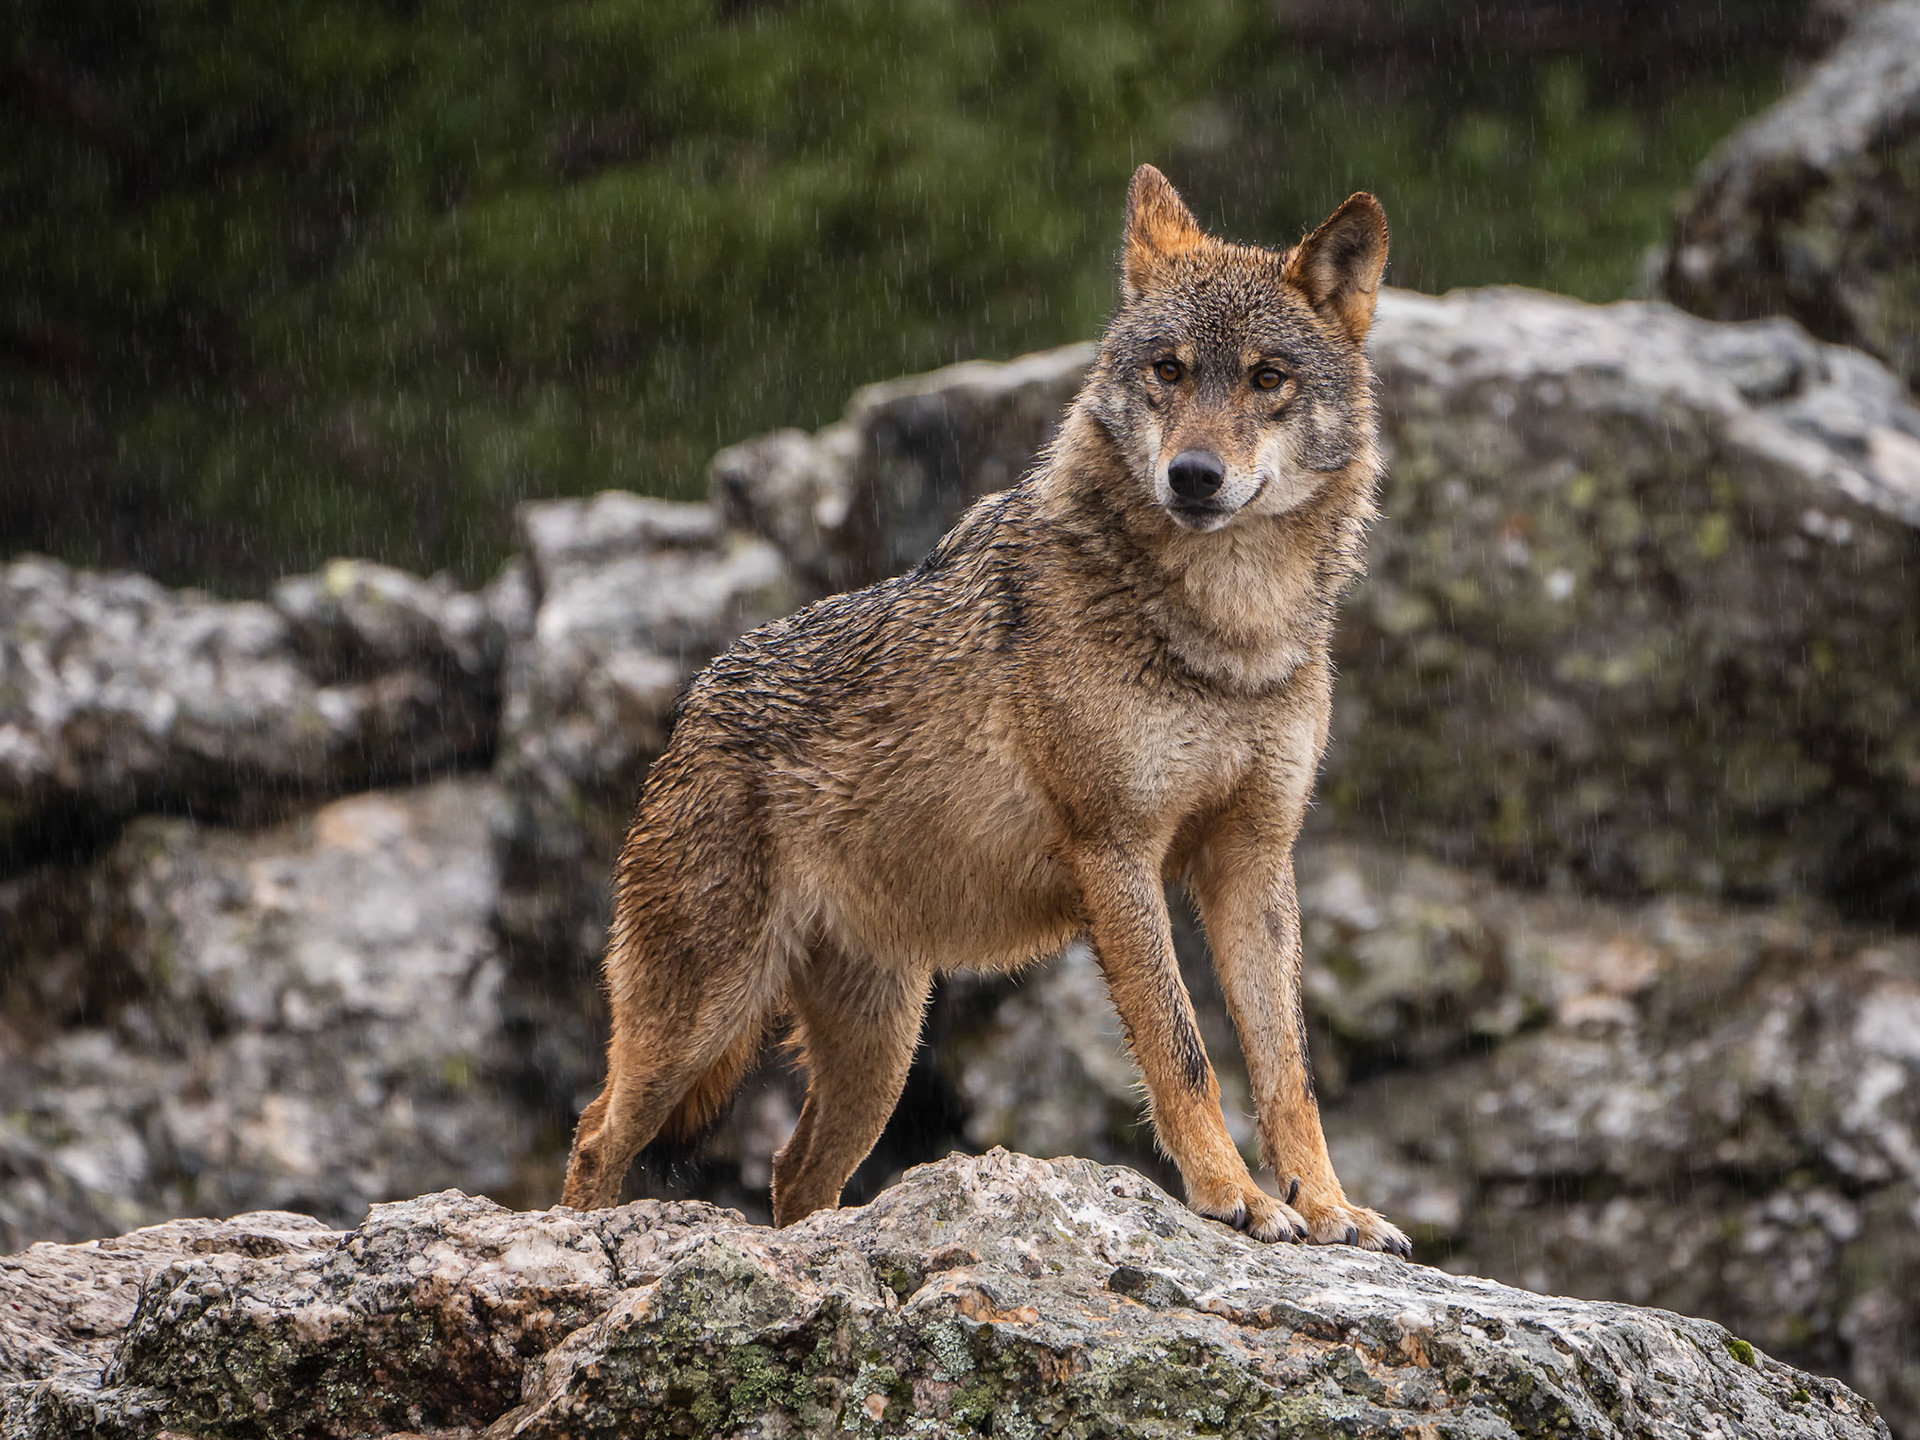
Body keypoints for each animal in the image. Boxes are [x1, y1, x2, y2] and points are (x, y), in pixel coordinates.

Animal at [561, 164, 1408, 1254]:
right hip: (702, 1019)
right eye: (1169, 371)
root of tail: (692, 703)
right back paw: (578, 1242)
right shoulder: (1117, 852)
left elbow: (1286, 1065)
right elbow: (1184, 1052)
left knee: (791, 1174)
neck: (1233, 632)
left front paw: (1330, 1207)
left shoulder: (1252, 861)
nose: (1193, 477)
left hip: (878, 1052)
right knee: (595, 1133)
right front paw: (1240, 1199)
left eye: (1267, 378)